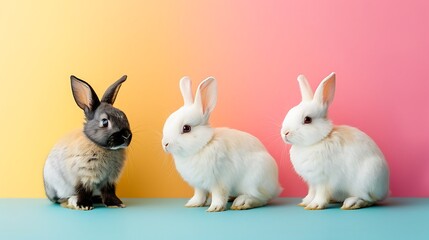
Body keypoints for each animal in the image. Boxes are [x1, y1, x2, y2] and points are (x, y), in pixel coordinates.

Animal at [43, 75, 132, 210]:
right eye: (104, 121)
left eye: (124, 116)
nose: (127, 135)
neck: (102, 147)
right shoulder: (83, 176)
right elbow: (83, 191)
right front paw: (84, 205)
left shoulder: (109, 180)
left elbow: (109, 192)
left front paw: (116, 204)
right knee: (62, 199)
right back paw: (73, 201)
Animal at [160, 76, 280, 212]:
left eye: (186, 128)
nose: (165, 144)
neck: (203, 145)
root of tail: (276, 185)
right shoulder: (199, 185)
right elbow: (199, 195)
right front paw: (193, 204)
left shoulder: (219, 182)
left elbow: (219, 195)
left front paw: (215, 208)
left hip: (255, 180)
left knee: (262, 198)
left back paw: (242, 202)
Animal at [280, 72, 390, 210]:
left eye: (307, 119)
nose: (285, 133)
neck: (318, 140)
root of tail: (385, 190)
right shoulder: (312, 181)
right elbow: (311, 192)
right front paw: (305, 202)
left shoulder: (324, 180)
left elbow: (321, 193)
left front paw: (315, 205)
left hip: (368, 179)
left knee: (369, 200)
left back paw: (351, 203)